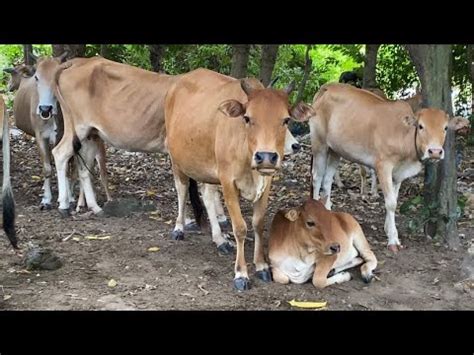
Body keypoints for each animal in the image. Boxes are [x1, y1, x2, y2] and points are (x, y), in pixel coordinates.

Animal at [164, 68, 314, 290]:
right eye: (247, 118)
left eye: (286, 120)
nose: (266, 156)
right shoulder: (227, 182)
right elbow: (240, 228)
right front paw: (241, 274)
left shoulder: (266, 183)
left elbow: (258, 223)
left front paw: (261, 266)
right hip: (177, 159)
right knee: (181, 190)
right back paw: (179, 228)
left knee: (207, 196)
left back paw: (219, 240)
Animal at [310, 82, 468, 253]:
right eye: (420, 126)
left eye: (445, 128)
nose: (435, 152)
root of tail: (328, 87)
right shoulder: (383, 165)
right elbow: (391, 203)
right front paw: (392, 239)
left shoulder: (398, 174)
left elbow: (394, 199)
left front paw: (390, 230)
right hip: (319, 143)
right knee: (317, 177)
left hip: (335, 150)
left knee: (327, 180)